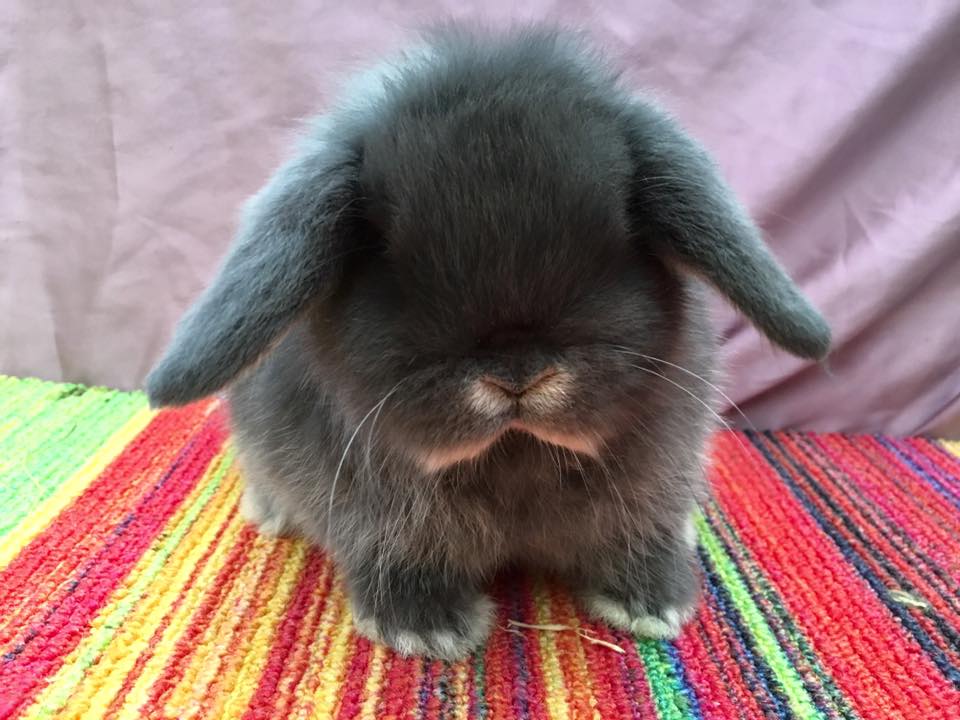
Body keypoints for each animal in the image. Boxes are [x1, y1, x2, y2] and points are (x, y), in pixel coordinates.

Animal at [146, 26, 828, 660]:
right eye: (386, 252)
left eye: (614, 241)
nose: (517, 372)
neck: (515, 452)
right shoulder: (374, 518)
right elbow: (393, 555)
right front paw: (428, 629)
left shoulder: (656, 482)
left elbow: (637, 536)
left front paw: (655, 602)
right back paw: (269, 512)